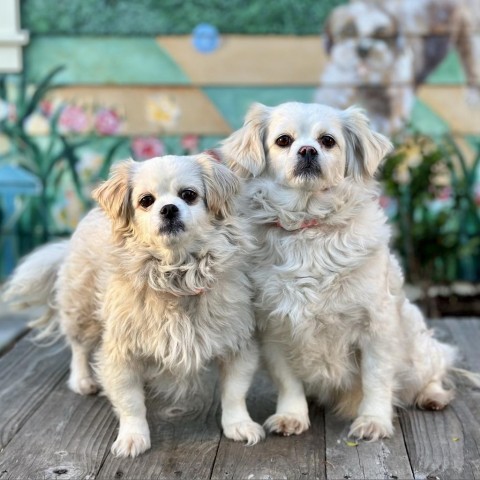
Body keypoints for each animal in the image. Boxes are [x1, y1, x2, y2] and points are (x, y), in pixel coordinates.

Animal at [2, 154, 262, 458]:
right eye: (146, 201)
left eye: (189, 195)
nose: (169, 208)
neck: (176, 274)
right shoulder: (120, 353)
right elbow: (130, 402)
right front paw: (133, 437)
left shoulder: (238, 345)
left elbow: (234, 393)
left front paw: (239, 425)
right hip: (81, 309)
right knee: (78, 347)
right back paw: (82, 380)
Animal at [221, 103, 458, 440]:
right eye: (283, 141)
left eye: (328, 141)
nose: (308, 150)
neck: (309, 225)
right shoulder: (274, 331)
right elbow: (287, 381)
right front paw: (291, 416)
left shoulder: (377, 326)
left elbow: (377, 379)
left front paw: (374, 421)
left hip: (417, 348)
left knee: (434, 369)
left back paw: (433, 396)